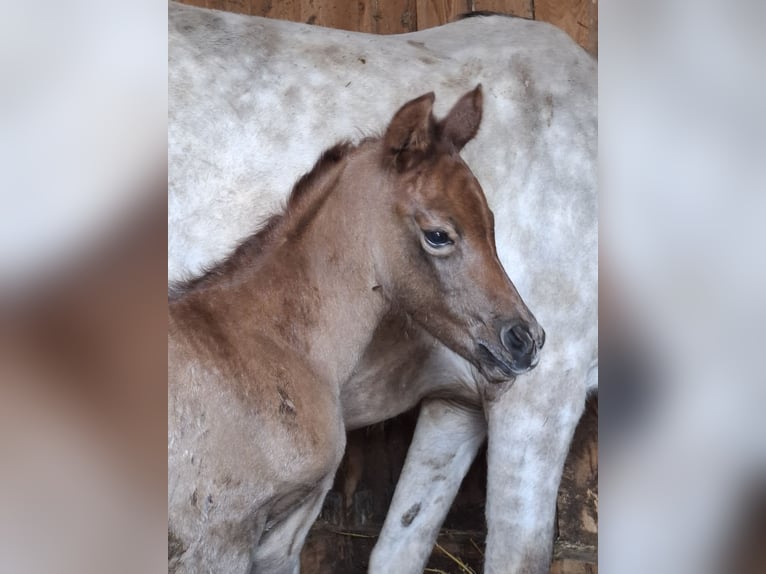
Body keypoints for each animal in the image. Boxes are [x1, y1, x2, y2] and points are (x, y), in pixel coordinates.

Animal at [168, 3, 597, 572]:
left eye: (493, 224)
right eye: (438, 234)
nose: (526, 339)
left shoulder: (457, 403)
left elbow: (399, 548)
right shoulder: (540, 402)